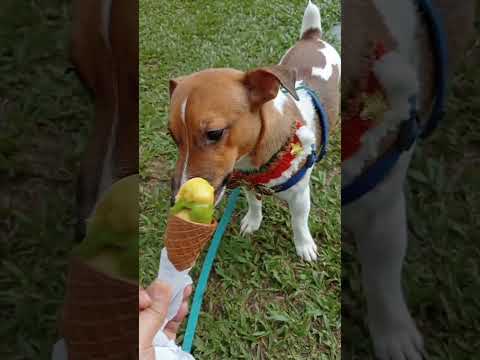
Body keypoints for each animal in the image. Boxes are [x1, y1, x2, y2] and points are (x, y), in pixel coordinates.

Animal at [169, 2, 342, 262]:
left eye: (214, 133)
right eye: (172, 136)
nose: (177, 199)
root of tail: (313, 37)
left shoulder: (300, 195)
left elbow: (299, 221)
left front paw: (304, 245)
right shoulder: (247, 181)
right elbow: (253, 201)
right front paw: (253, 220)